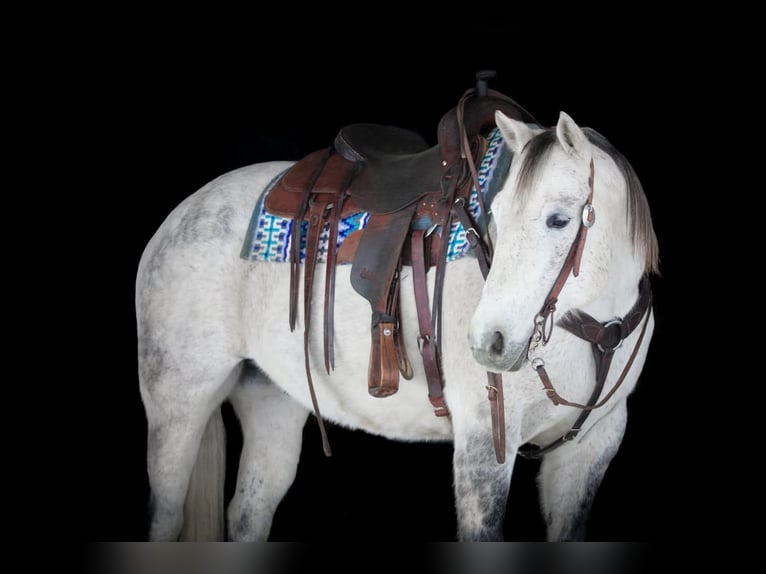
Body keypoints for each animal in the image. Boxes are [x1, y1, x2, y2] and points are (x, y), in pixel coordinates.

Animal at [135, 106, 659, 541]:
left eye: (558, 220)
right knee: (165, 516)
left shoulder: (589, 450)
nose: (488, 342)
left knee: (248, 514)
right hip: (177, 403)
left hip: (271, 399)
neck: (594, 329)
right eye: (497, 218)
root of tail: (184, 213)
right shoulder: (484, 447)